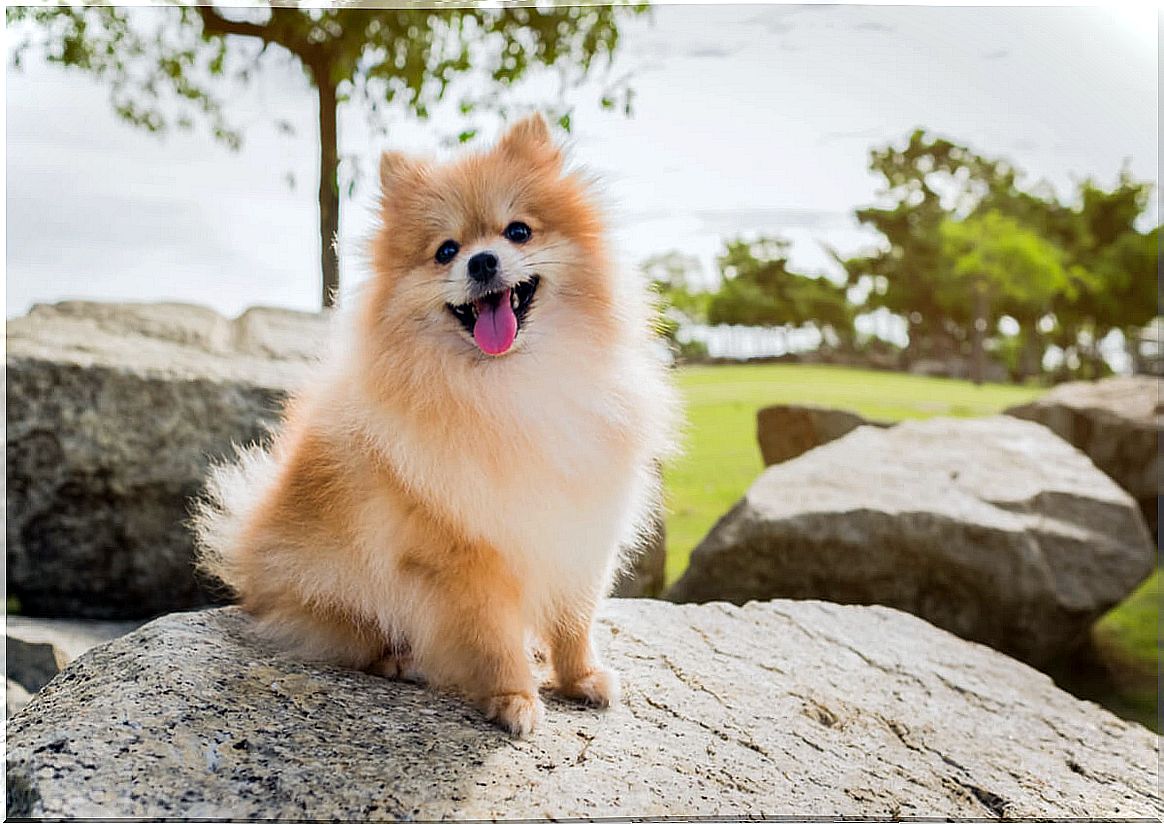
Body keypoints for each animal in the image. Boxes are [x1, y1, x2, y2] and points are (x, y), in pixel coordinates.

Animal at [194, 114, 679, 735]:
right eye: (446, 251)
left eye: (518, 232)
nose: (482, 261)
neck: (511, 383)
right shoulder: (463, 556)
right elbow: (492, 637)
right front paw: (514, 697)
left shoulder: (577, 525)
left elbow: (576, 617)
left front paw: (581, 677)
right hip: (334, 587)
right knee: (351, 637)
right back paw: (401, 660)